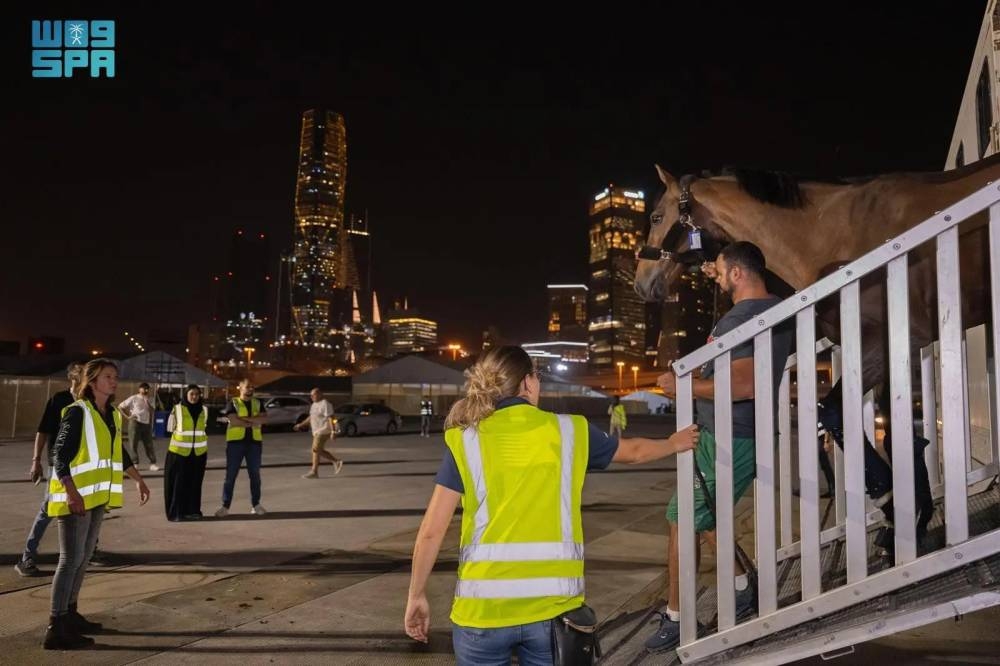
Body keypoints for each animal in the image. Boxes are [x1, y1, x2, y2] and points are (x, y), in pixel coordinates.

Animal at [634, 156, 999, 549]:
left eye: (656, 217)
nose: (641, 282)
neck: (834, 232)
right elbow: (891, 427)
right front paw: (914, 514)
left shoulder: (896, 338)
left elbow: (835, 411)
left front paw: (889, 502)